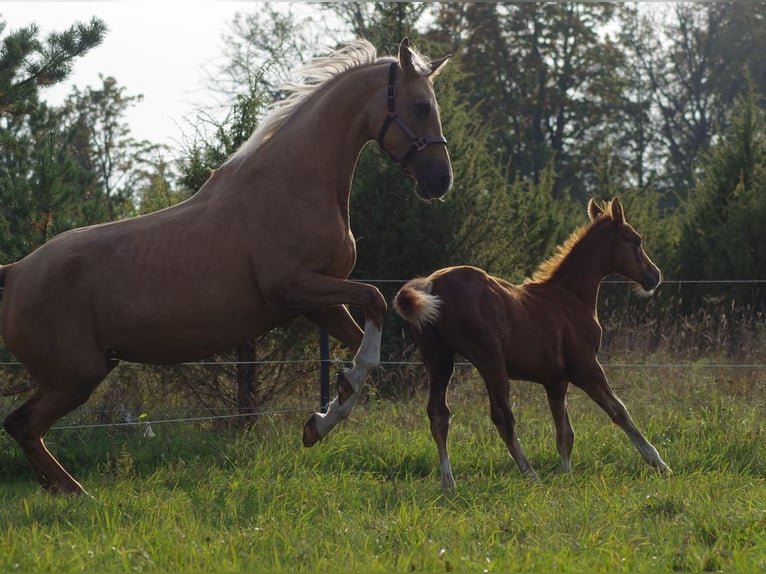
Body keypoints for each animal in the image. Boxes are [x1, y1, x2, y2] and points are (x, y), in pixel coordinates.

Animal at [0, 38, 452, 496]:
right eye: (420, 106)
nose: (441, 181)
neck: (291, 185)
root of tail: (15, 271)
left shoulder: (317, 301)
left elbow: (364, 352)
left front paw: (321, 420)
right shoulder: (293, 288)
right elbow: (375, 300)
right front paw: (325, 414)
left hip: (81, 370)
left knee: (22, 427)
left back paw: (66, 491)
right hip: (74, 376)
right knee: (21, 425)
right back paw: (77, 494)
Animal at [396, 199, 672, 490]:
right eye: (636, 240)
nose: (655, 275)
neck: (569, 299)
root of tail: (431, 283)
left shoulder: (555, 380)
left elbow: (565, 434)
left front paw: (566, 476)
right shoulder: (586, 368)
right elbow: (619, 411)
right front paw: (659, 463)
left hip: (439, 360)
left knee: (438, 414)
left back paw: (448, 483)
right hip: (490, 361)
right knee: (502, 417)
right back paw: (530, 474)